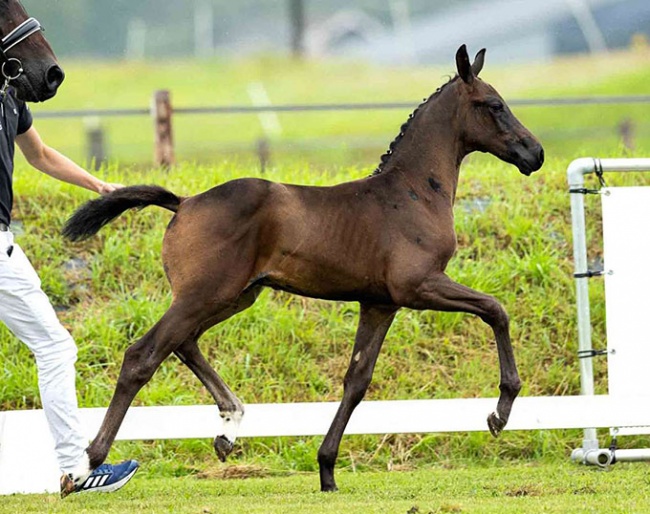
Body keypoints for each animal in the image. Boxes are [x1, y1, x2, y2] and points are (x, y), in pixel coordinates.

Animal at [64, 46, 540, 490]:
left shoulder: (379, 304)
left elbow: (357, 380)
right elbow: (496, 309)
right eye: (494, 104)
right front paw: (499, 412)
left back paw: (229, 427)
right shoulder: (419, 286)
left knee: (184, 343)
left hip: (234, 296)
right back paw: (88, 463)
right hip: (206, 294)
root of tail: (184, 202)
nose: (534, 153)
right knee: (143, 355)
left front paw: (327, 470)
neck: (413, 192)